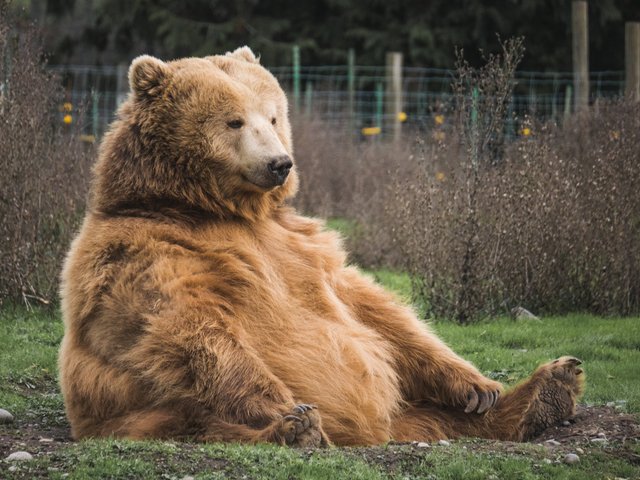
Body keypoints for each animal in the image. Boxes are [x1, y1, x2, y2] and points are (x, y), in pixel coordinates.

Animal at [57, 47, 584, 448]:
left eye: (273, 115)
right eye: (233, 121)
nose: (279, 163)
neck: (213, 209)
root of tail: (376, 432)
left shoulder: (301, 246)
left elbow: (374, 309)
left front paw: (477, 386)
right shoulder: (147, 252)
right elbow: (189, 328)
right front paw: (288, 409)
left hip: (409, 410)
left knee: (440, 416)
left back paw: (546, 390)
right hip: (140, 412)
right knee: (200, 420)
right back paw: (296, 429)